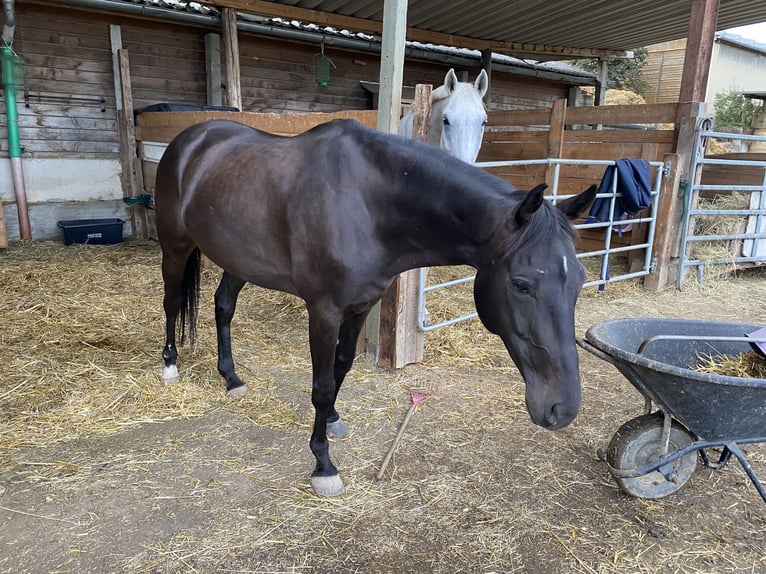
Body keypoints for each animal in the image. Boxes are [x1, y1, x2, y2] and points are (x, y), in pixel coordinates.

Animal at [156, 119, 596, 498]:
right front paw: (323, 464)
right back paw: (170, 365)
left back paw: (231, 378)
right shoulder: (324, 311)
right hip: (175, 248)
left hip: (239, 259)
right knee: (172, 303)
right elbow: (321, 384)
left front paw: (333, 420)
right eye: (522, 284)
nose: (562, 408)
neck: (368, 203)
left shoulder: (361, 306)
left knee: (223, 306)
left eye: (579, 278)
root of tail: (190, 139)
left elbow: (342, 367)